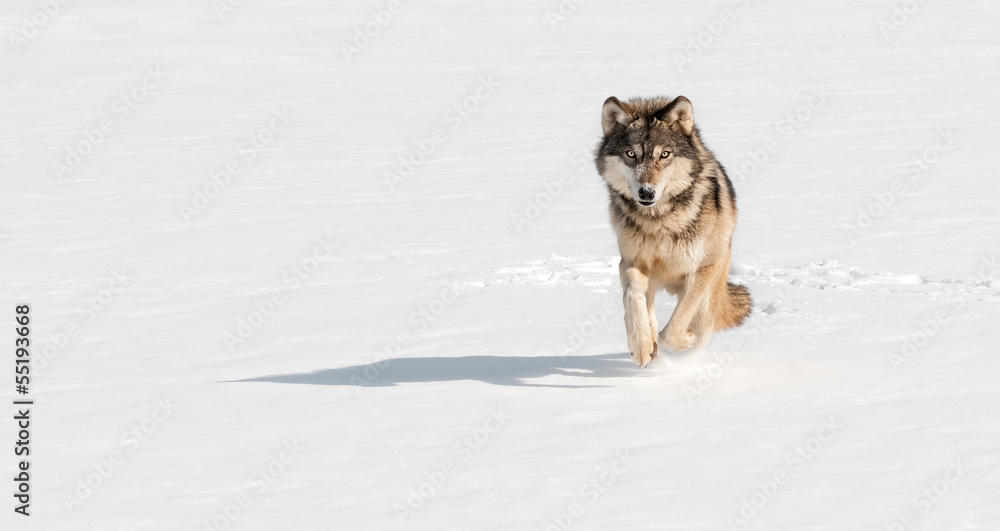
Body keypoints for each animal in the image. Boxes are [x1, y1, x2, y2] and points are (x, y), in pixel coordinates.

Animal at [595, 95, 751, 367]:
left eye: (664, 154)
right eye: (631, 154)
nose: (646, 193)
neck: (659, 221)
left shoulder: (702, 269)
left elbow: (674, 329)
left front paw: (685, 339)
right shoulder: (630, 261)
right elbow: (632, 298)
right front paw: (641, 346)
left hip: (713, 282)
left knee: (702, 327)